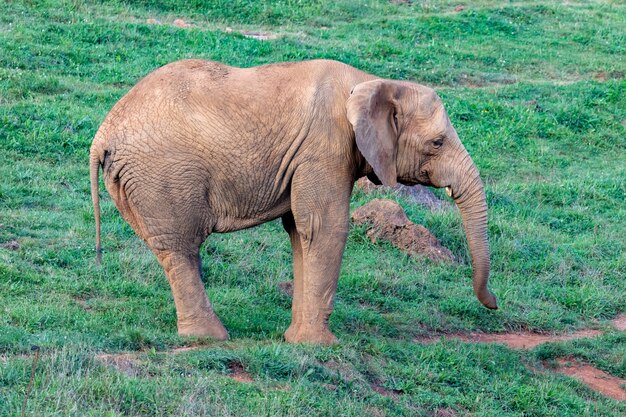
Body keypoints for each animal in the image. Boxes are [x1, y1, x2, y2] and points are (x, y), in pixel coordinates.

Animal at [90, 58, 494, 344]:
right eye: (437, 143)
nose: (492, 303)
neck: (372, 81)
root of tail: (102, 136)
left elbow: (300, 231)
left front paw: (294, 340)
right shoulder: (324, 149)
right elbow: (324, 227)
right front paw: (320, 346)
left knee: (169, 248)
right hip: (163, 174)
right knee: (182, 248)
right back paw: (211, 339)